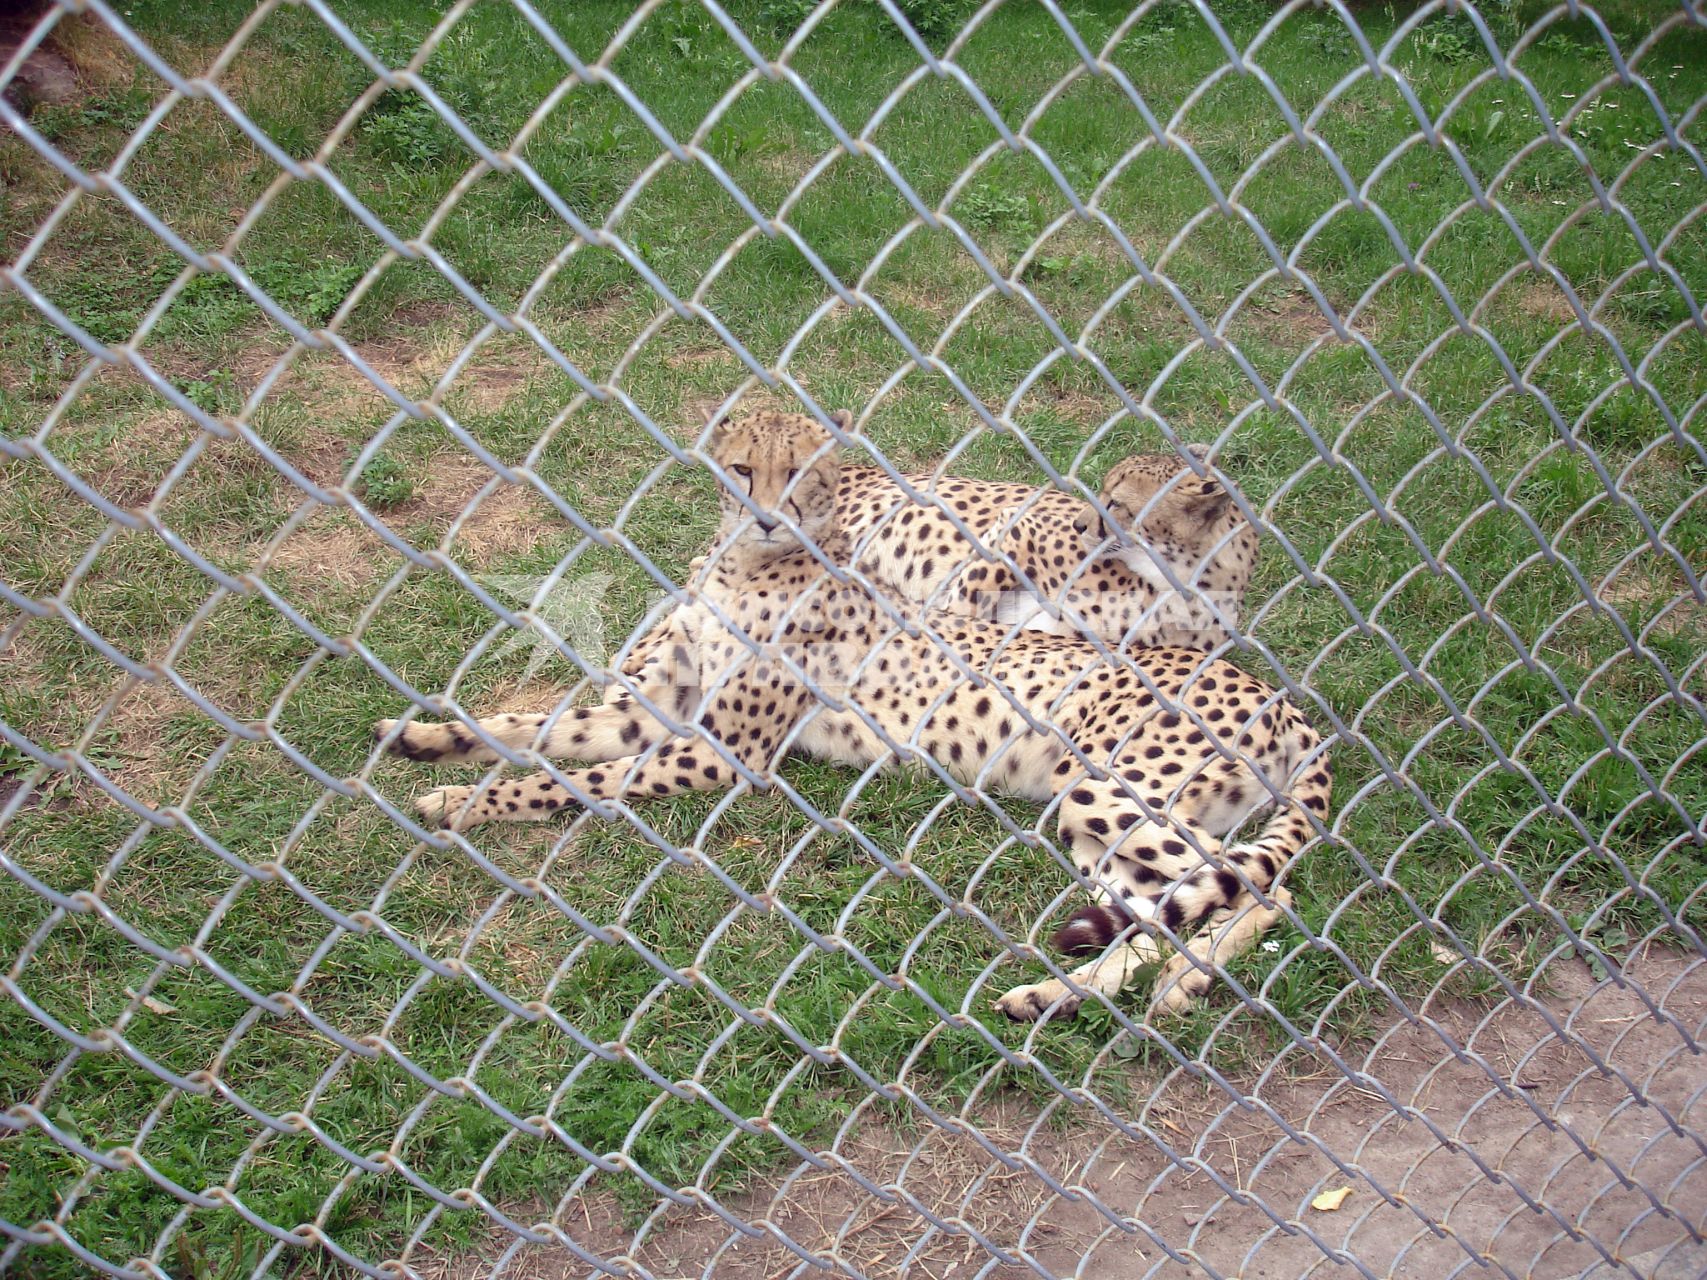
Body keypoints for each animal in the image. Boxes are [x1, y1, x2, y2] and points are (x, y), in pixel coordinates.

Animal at [380, 416, 1324, 1017]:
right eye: (741, 471)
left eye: (798, 479)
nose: (765, 516)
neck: (746, 566)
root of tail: (1282, 701)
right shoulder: (658, 717)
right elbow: (532, 728)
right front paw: (425, 745)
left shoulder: (718, 753)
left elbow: (563, 778)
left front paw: (459, 805)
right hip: (1092, 826)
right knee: (1159, 912)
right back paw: (1054, 997)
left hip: (1109, 790)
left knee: (1265, 890)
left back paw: (1176, 987)